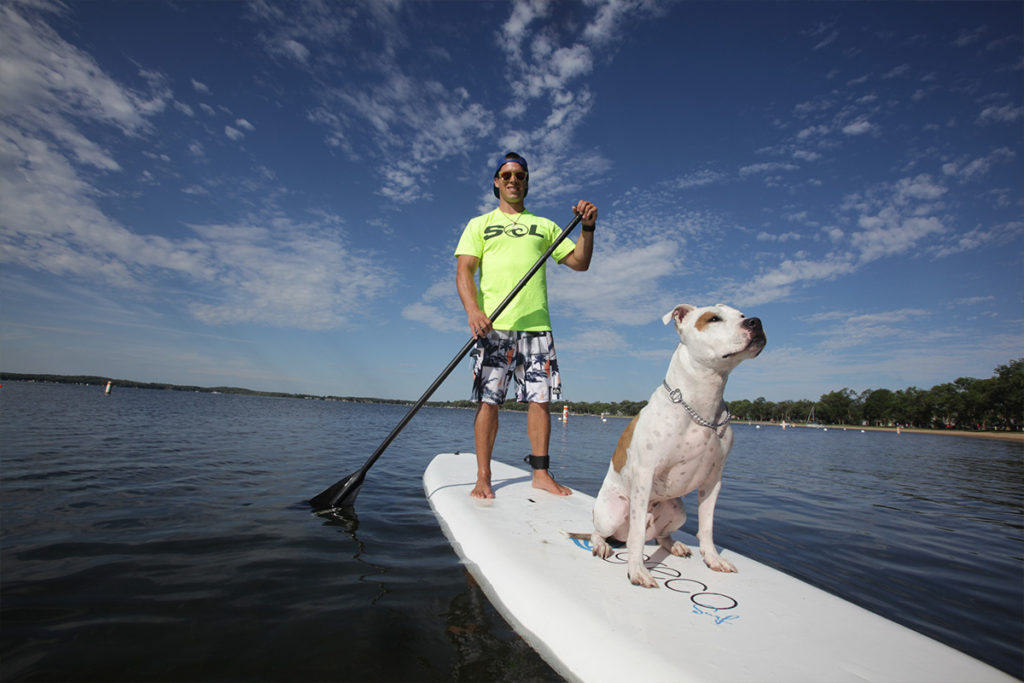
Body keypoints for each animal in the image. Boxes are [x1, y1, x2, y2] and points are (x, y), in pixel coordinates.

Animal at [589, 305, 765, 589]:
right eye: (713, 318)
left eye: (741, 315)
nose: (756, 322)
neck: (702, 406)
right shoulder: (645, 475)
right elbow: (637, 536)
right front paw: (637, 570)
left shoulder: (713, 480)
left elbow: (707, 526)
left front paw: (713, 559)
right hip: (611, 513)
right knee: (602, 532)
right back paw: (601, 545)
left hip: (678, 511)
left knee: (661, 536)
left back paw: (675, 545)